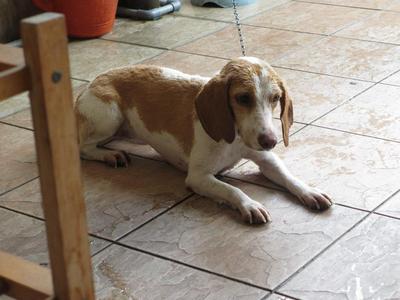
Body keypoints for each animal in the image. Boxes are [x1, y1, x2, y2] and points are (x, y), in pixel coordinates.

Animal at [74, 56, 332, 225]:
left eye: (276, 98)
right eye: (243, 98)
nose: (270, 141)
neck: (235, 137)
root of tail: (90, 83)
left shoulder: (267, 160)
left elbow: (289, 177)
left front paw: (309, 191)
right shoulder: (198, 178)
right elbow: (231, 189)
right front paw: (249, 204)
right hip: (109, 115)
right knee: (84, 148)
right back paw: (109, 154)